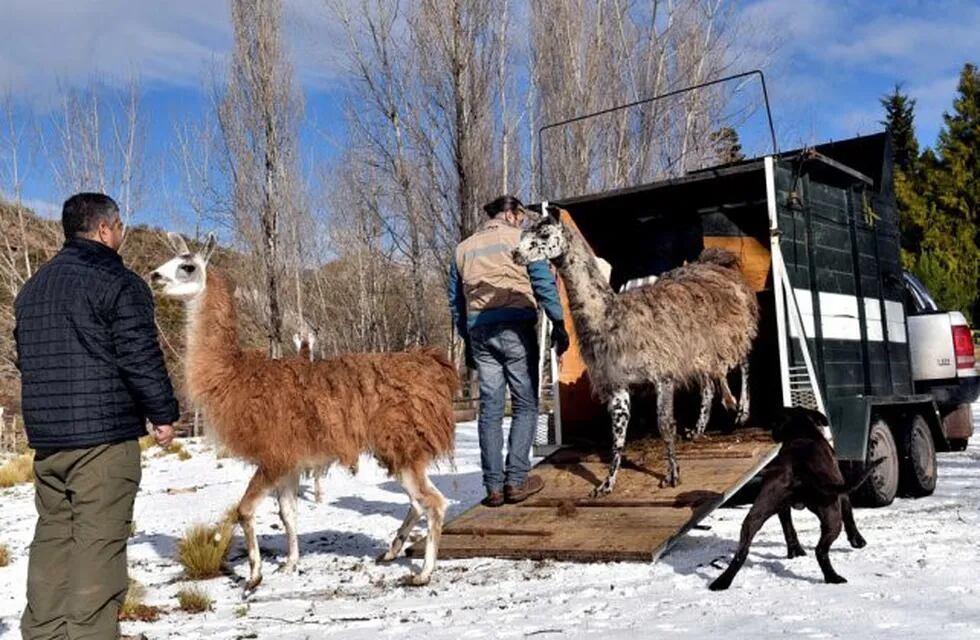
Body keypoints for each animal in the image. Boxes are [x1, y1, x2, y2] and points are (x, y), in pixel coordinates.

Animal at [704, 408, 880, 592]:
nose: (771, 432)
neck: (802, 430)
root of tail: (800, 466)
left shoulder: (782, 507)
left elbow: (788, 528)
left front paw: (794, 551)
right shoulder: (843, 494)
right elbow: (850, 517)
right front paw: (858, 540)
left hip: (757, 513)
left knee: (742, 551)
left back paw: (721, 582)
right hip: (832, 515)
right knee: (820, 550)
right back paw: (833, 578)